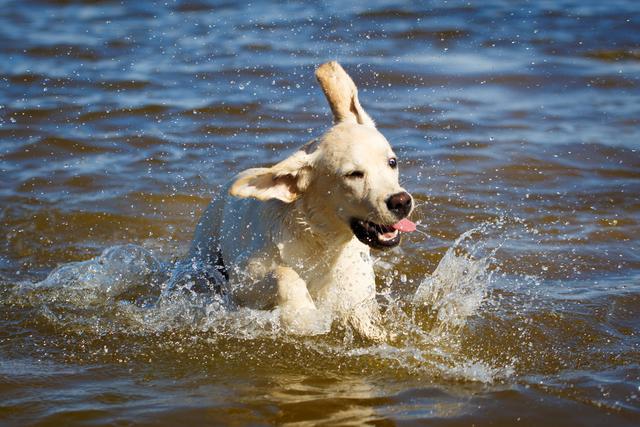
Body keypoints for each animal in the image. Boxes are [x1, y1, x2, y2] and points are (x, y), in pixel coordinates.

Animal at [165, 61, 416, 342]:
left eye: (392, 162)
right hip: (204, 251)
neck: (321, 243)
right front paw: (303, 315)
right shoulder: (243, 283)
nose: (401, 202)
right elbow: (284, 274)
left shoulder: (357, 296)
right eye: (353, 174)